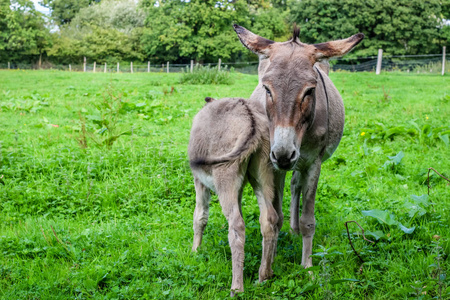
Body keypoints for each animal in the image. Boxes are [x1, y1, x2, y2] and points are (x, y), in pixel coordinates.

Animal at [188, 96, 280, 296]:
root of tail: (250, 117)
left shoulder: (199, 181)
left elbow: (200, 216)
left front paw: (195, 252)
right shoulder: (238, 188)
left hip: (225, 178)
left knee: (237, 225)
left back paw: (237, 287)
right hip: (262, 174)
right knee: (269, 219)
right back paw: (264, 276)